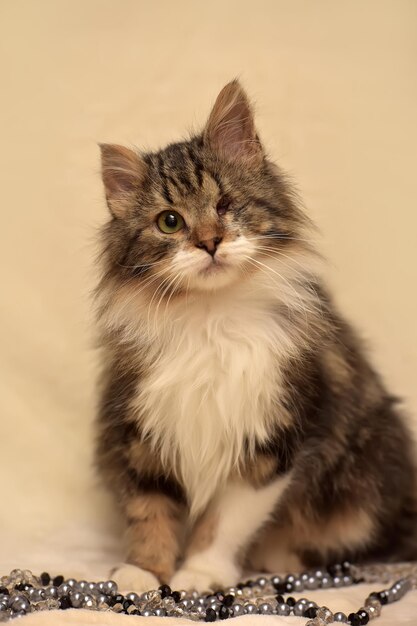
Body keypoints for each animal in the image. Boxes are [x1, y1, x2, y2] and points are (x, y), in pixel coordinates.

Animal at [94, 79, 416, 588]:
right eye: (170, 221)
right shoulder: (139, 431)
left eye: (226, 205)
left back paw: (279, 557)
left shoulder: (271, 438)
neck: (211, 318)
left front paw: (199, 575)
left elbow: (223, 523)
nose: (209, 242)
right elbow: (150, 513)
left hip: (368, 472)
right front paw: (141, 575)